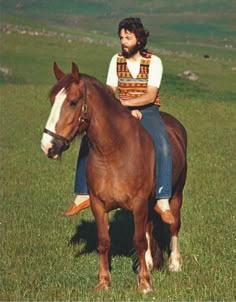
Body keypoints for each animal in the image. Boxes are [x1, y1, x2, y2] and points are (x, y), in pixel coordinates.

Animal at [41, 62, 187, 292]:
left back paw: (174, 263)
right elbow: (103, 241)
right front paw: (103, 282)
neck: (113, 153)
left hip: (177, 194)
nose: (48, 146)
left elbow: (138, 241)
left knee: (173, 225)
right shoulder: (98, 204)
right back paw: (149, 262)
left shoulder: (138, 203)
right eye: (52, 100)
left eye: (72, 102)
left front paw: (144, 284)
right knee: (148, 227)